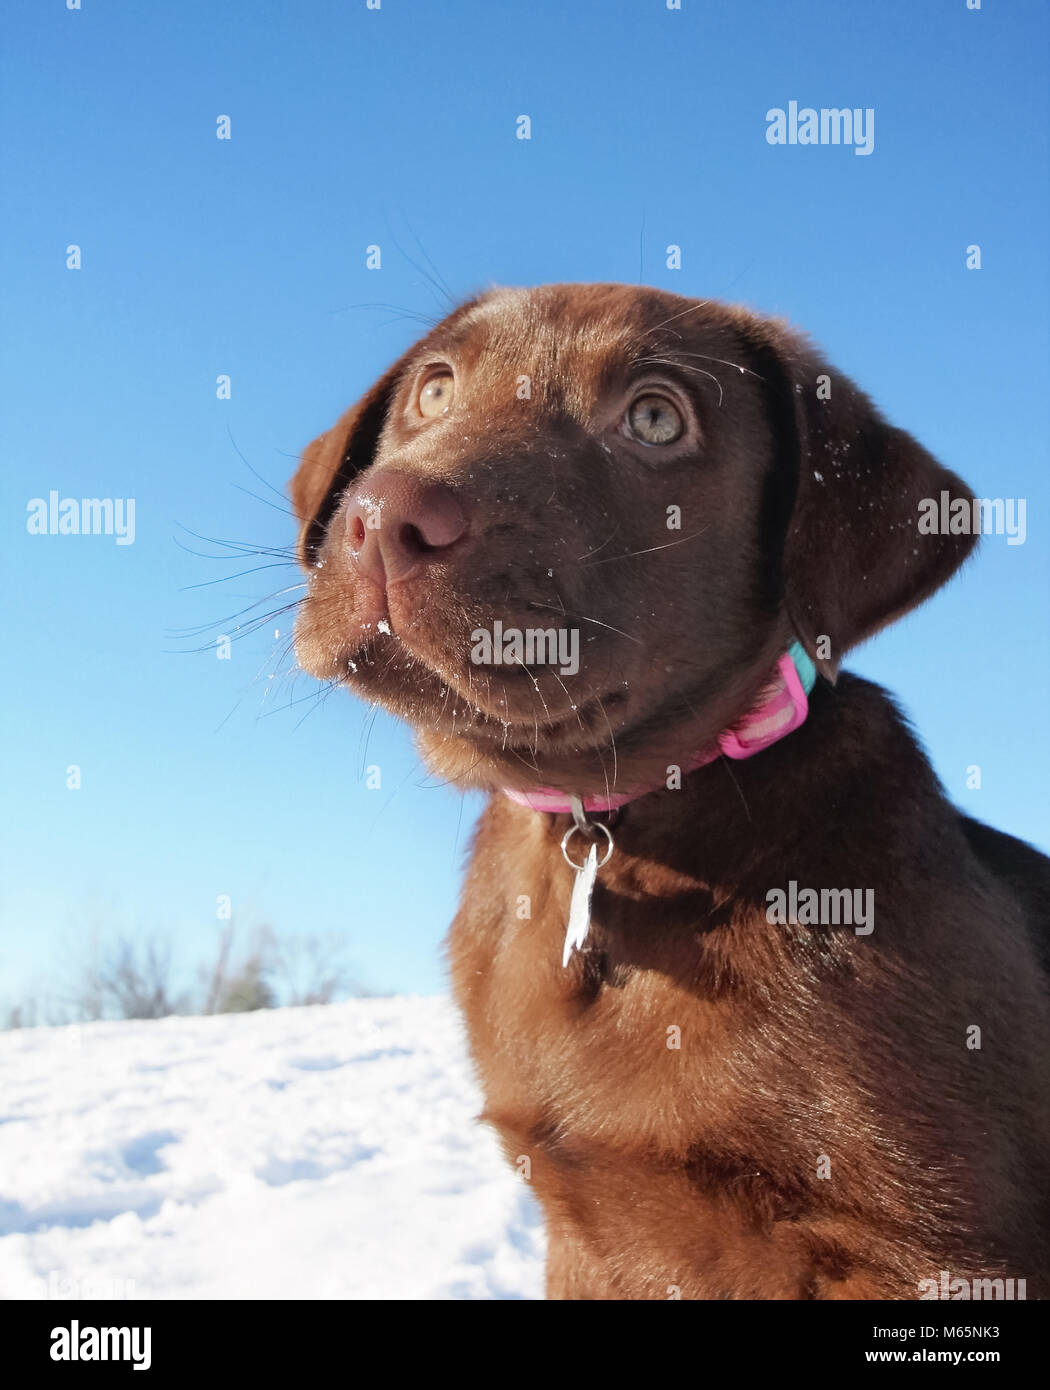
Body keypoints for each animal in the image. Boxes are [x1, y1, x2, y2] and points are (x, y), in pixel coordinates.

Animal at [289, 284, 1050, 1301]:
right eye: (434, 390)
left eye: (655, 418)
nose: (379, 516)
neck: (621, 833)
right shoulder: (581, 1235)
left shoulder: (937, 1249)